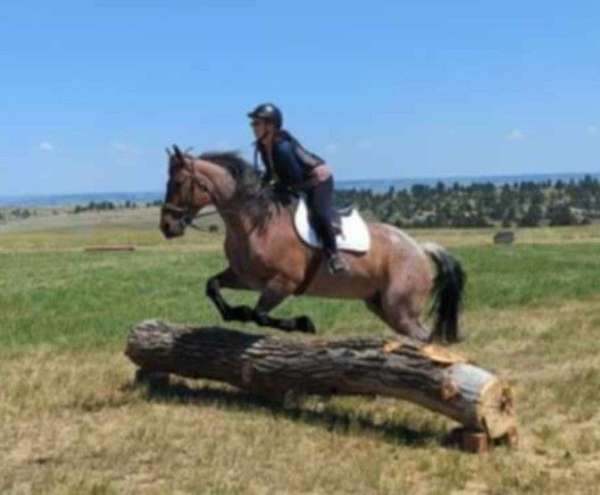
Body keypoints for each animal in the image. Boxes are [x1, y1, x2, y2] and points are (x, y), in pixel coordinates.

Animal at [158, 145, 464, 342]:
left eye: (179, 182)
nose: (167, 226)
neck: (253, 224)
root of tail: (420, 248)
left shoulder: (284, 282)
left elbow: (260, 315)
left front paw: (304, 324)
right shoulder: (245, 278)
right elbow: (213, 286)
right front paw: (235, 312)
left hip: (400, 309)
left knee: (425, 338)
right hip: (383, 306)